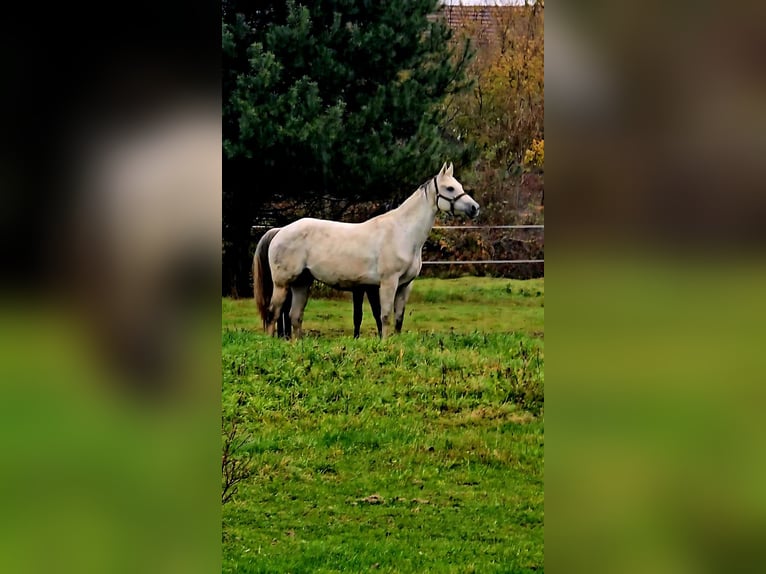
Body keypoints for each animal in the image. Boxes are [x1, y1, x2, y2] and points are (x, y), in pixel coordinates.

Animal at [254, 162, 479, 339]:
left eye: (458, 186)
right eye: (449, 188)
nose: (475, 208)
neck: (402, 232)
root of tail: (280, 230)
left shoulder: (405, 286)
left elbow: (398, 319)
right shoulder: (388, 283)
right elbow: (385, 316)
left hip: (302, 283)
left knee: (295, 316)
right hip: (282, 284)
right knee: (273, 313)